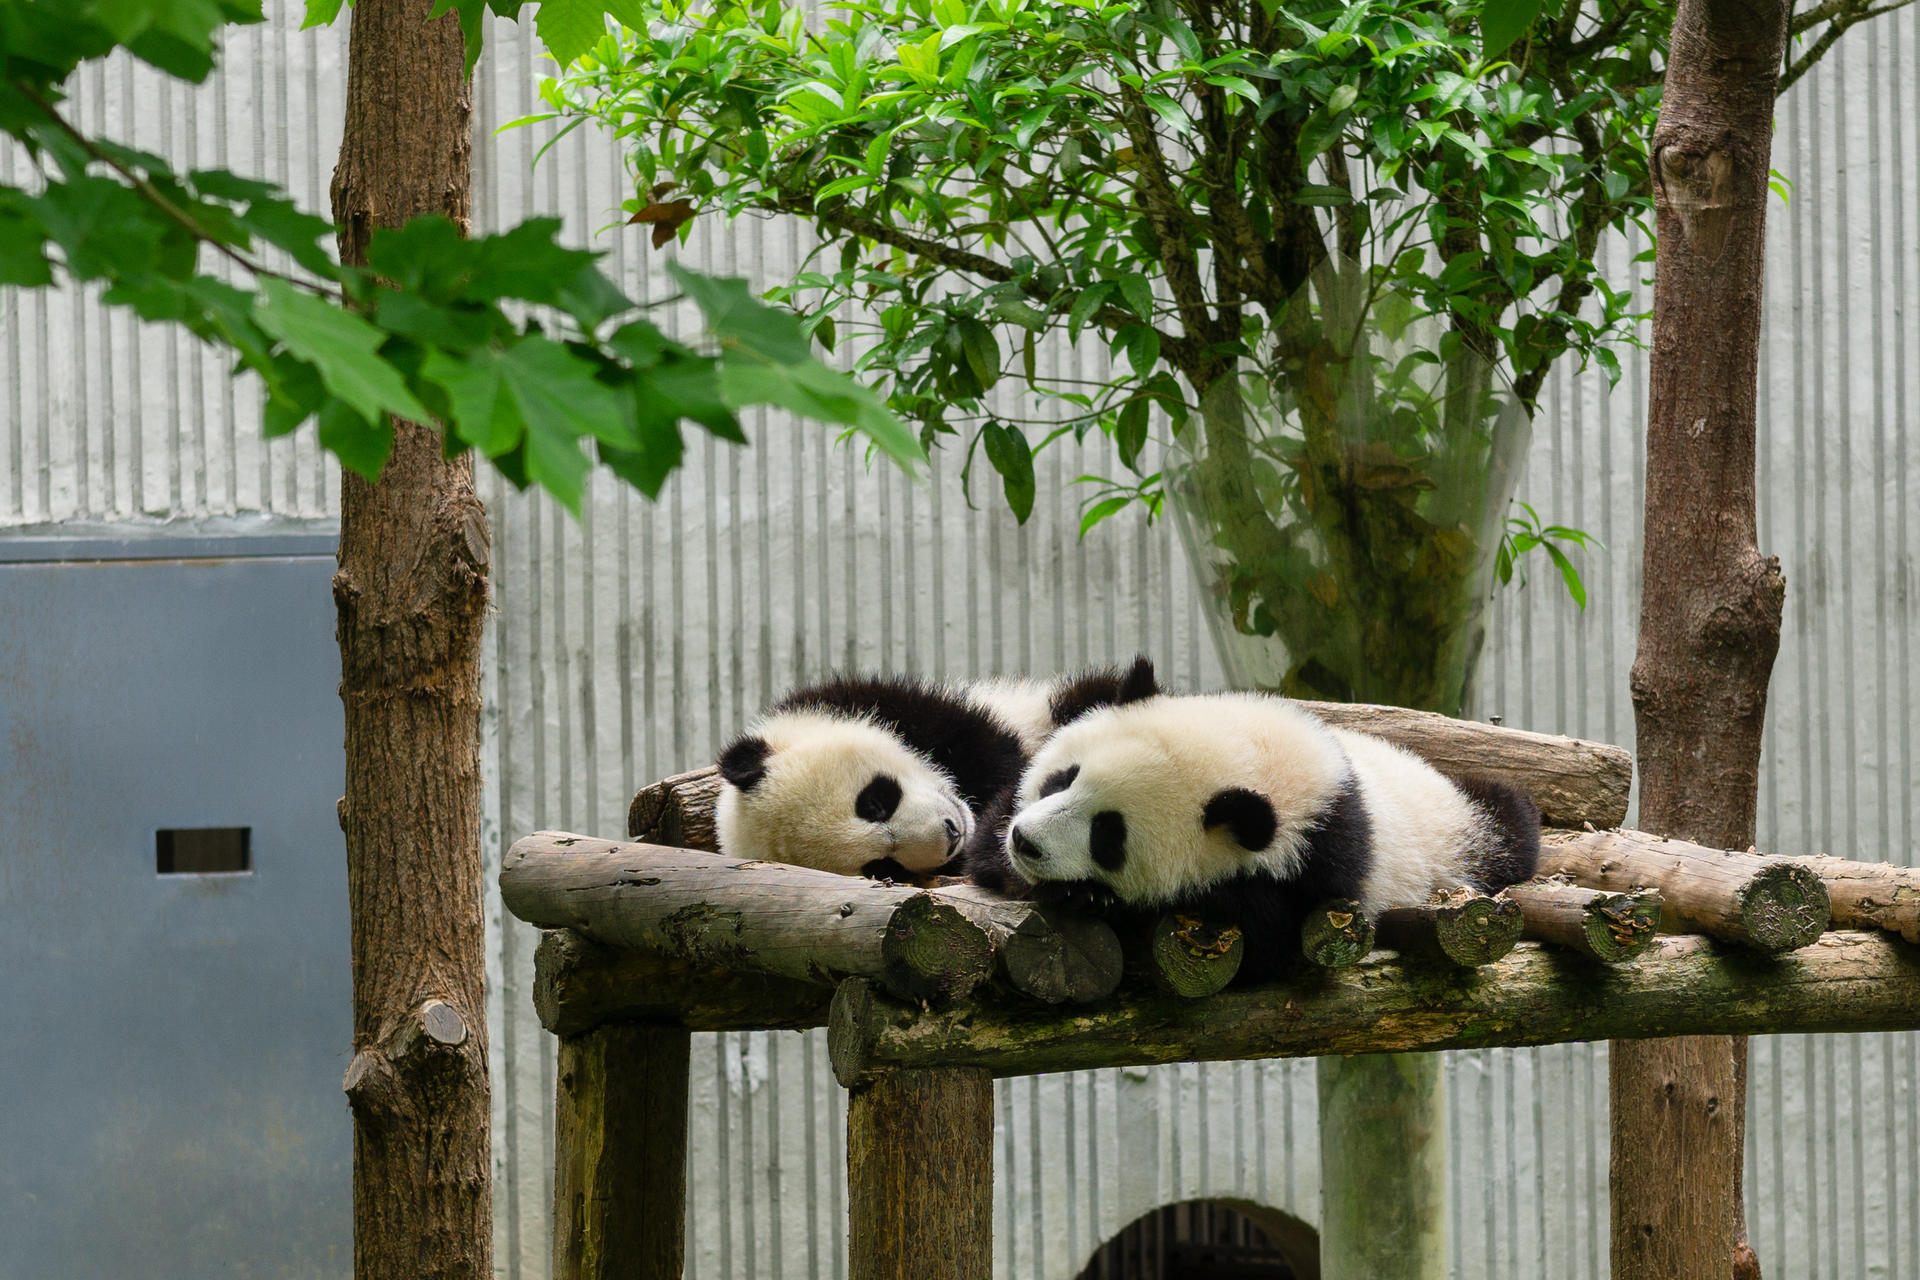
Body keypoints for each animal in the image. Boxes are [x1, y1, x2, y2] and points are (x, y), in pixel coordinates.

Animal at [976, 691, 1540, 982]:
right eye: (1064, 778)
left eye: (1108, 836)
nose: (1026, 842)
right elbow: (988, 837)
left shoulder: (1316, 871)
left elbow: (1263, 938)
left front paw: (1089, 896)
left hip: (1462, 828)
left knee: (1510, 820)